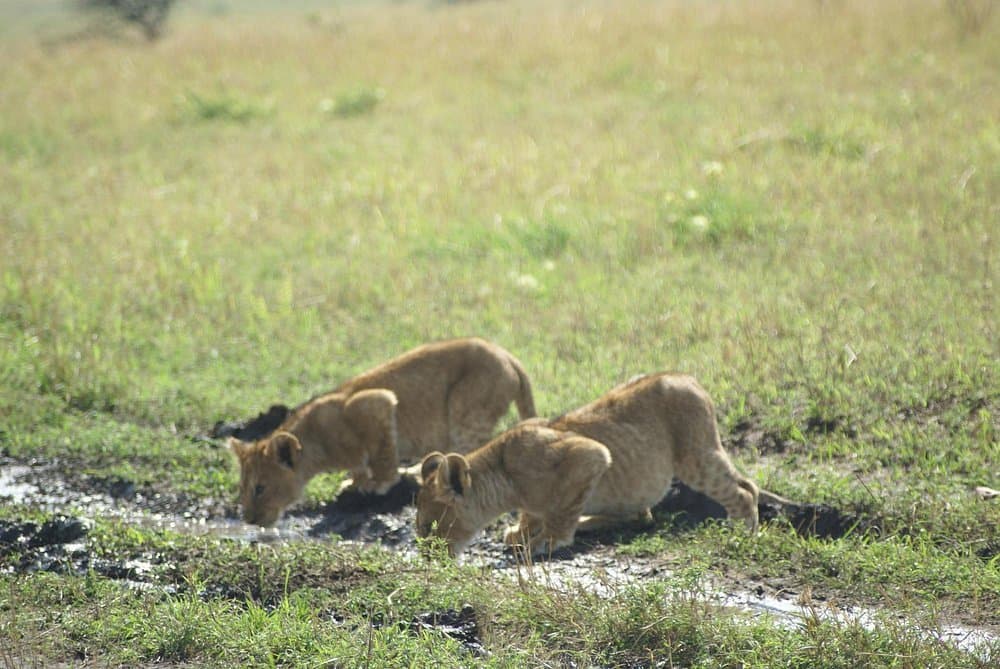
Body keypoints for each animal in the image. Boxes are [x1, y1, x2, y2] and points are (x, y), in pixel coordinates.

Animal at [230, 338, 536, 527]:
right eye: (243, 488)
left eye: (260, 488)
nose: (249, 519)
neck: (317, 445)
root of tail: (509, 356)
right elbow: (361, 465)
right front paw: (355, 482)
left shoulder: (377, 403)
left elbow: (383, 451)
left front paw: (381, 483)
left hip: (467, 409)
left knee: (470, 455)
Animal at [416, 373, 764, 557]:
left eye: (429, 524)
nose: (428, 555)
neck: (503, 479)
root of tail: (686, 376)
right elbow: (533, 514)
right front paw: (521, 531)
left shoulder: (589, 455)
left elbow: (563, 511)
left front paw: (546, 540)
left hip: (696, 456)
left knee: (744, 491)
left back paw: (741, 534)